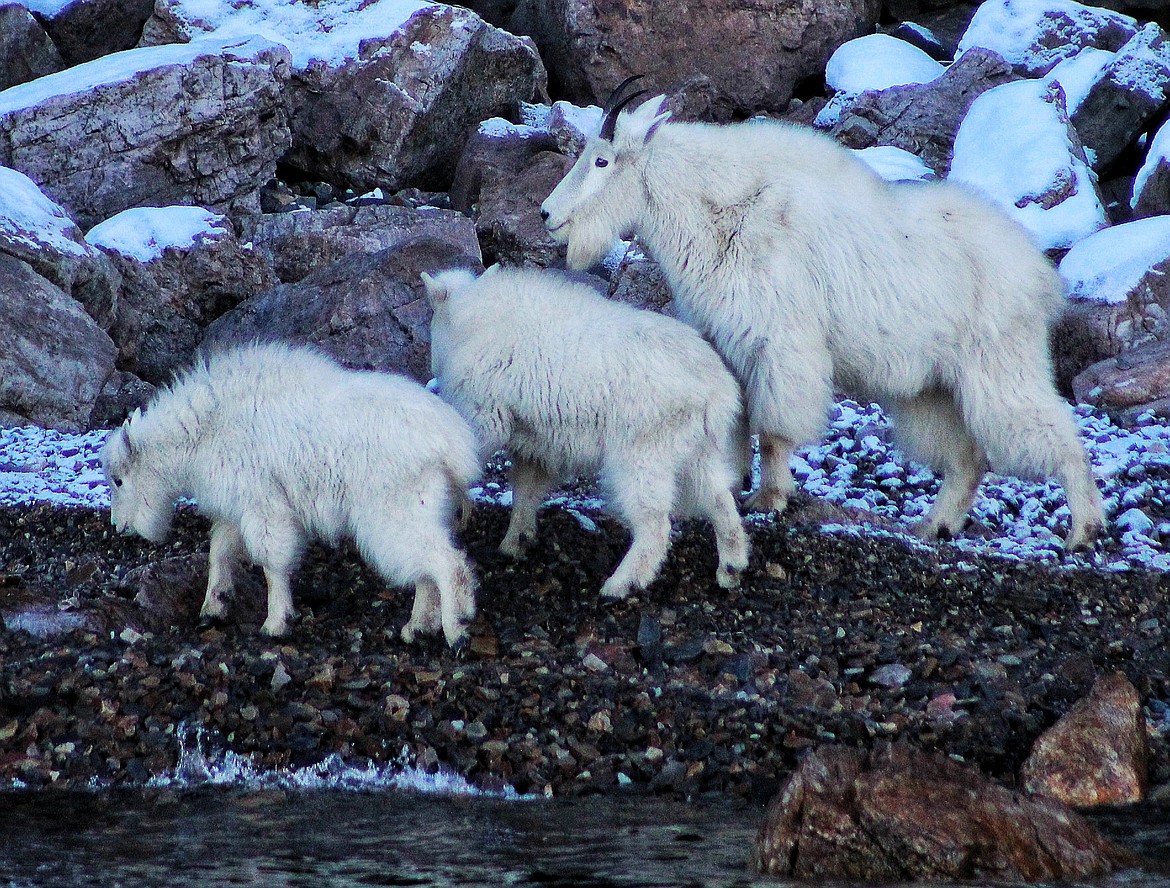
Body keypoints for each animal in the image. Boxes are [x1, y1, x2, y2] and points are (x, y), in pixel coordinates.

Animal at [538, 86, 1104, 552]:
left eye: (602, 160)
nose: (547, 215)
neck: (717, 212)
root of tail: (1039, 273)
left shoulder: (778, 340)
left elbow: (773, 427)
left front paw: (771, 498)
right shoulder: (727, 341)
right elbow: (737, 425)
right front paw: (731, 487)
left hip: (999, 361)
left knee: (1052, 432)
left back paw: (1082, 530)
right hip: (933, 388)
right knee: (966, 457)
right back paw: (933, 526)